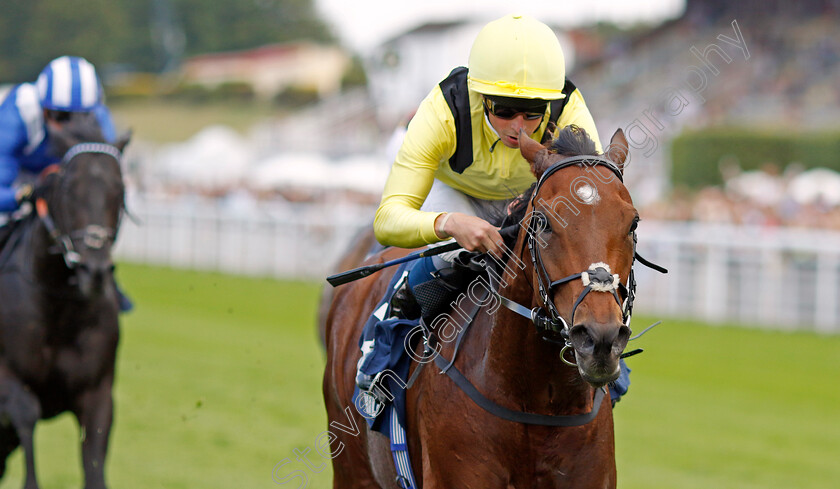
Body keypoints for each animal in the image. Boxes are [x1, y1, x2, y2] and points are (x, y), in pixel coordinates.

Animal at [0, 118, 130, 488]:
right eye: (70, 188)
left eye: (120, 189)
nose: (94, 271)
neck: (58, 310)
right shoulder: (8, 379)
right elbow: (26, 416)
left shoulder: (98, 393)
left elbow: (94, 464)